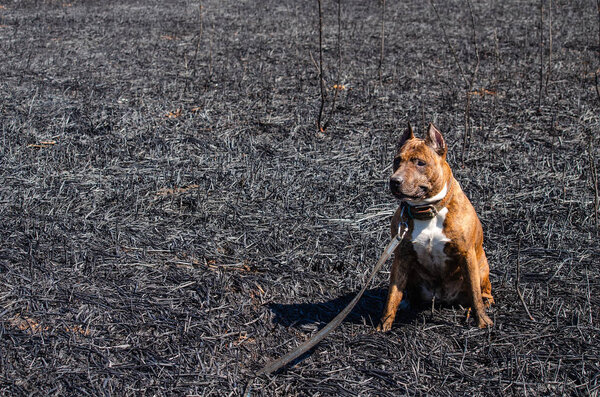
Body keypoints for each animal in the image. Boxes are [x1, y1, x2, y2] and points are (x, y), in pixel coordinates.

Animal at [378, 122, 494, 330]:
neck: (427, 210)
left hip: (481, 268)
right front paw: (383, 326)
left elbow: (474, 293)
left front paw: (482, 321)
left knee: (482, 294)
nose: (394, 181)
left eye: (420, 163)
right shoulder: (401, 256)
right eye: (397, 160)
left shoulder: (466, 254)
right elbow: (392, 294)